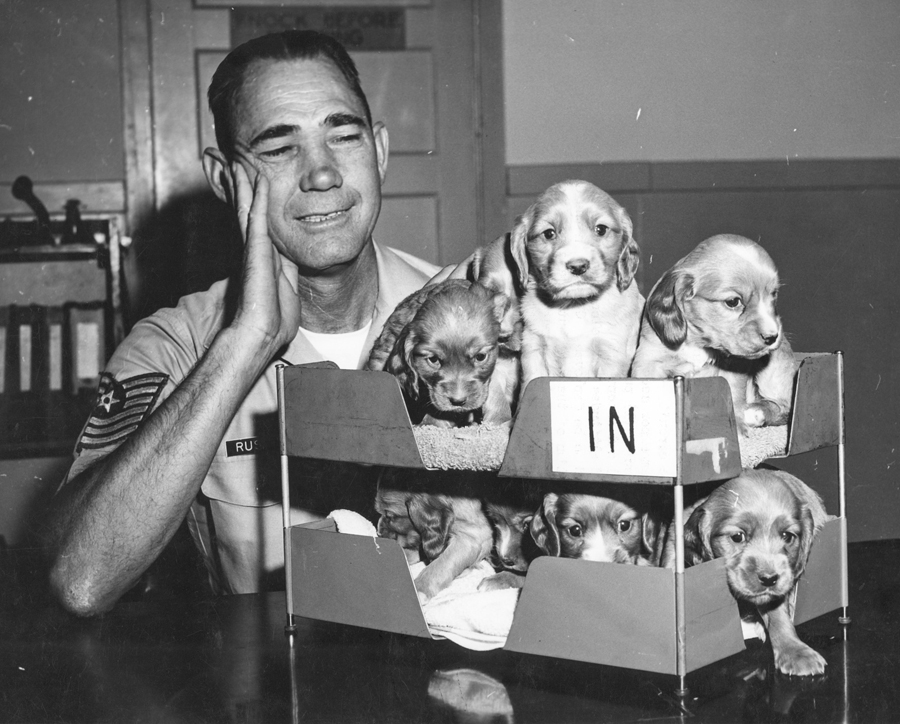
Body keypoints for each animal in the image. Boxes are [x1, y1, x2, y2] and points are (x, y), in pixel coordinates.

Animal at [510, 181, 644, 396]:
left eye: (601, 229)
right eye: (549, 233)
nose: (578, 266)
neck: (575, 305)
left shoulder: (611, 353)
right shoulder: (534, 348)